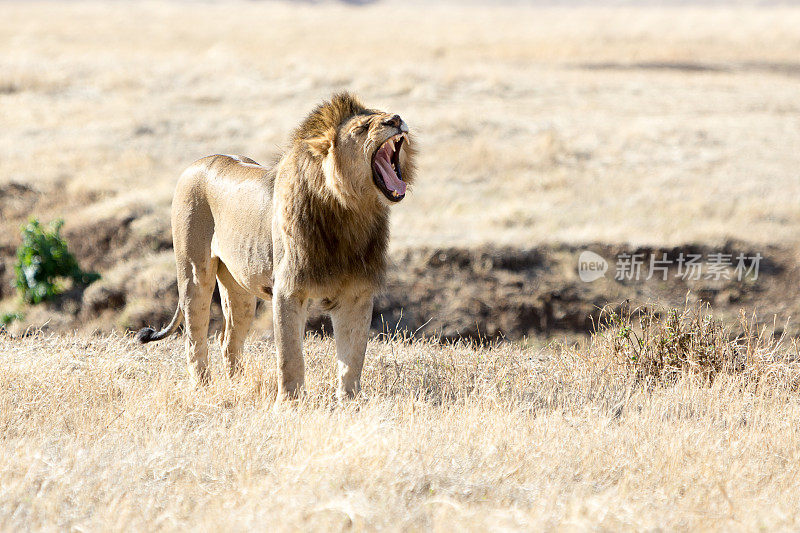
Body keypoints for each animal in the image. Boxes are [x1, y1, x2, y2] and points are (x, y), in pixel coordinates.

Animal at [135, 92, 416, 400]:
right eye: (363, 127)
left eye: (385, 113)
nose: (397, 119)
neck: (350, 212)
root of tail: (199, 162)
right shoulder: (288, 290)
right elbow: (290, 357)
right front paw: (289, 403)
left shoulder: (356, 292)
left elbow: (352, 359)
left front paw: (349, 402)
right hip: (194, 274)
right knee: (194, 338)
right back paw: (203, 389)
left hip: (240, 290)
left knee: (228, 340)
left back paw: (237, 386)